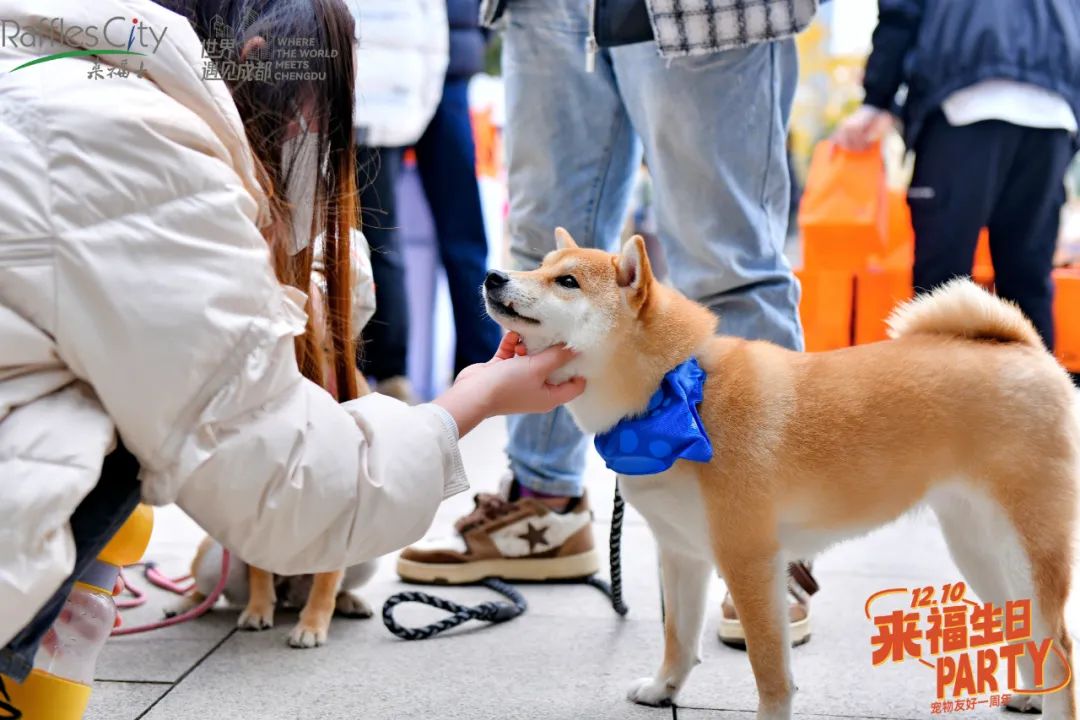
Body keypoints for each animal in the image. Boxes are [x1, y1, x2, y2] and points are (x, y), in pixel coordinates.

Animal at [486, 229, 1075, 720]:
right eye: (539, 266)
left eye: (567, 281)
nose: (494, 276)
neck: (671, 394)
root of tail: (1028, 350)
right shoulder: (681, 553)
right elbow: (678, 637)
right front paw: (663, 690)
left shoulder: (749, 560)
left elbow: (769, 670)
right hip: (977, 548)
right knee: (1025, 629)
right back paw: (1030, 696)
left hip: (1028, 545)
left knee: (1060, 644)